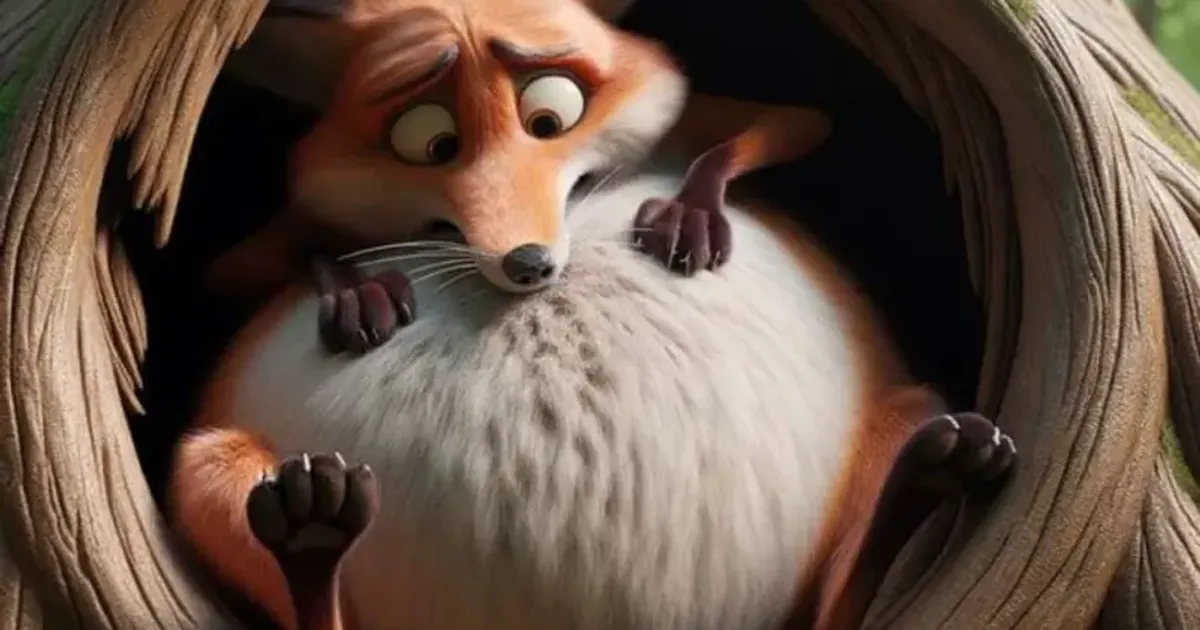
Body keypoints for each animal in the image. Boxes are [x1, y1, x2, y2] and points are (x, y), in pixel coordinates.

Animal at [170, 1, 1017, 629]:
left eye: (551, 116)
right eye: (429, 143)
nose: (529, 263)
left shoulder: (715, 118)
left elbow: (788, 123)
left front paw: (690, 210)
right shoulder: (252, 259)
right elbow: (255, 263)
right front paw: (355, 288)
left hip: (904, 415)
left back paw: (931, 477)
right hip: (209, 470)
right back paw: (312, 533)